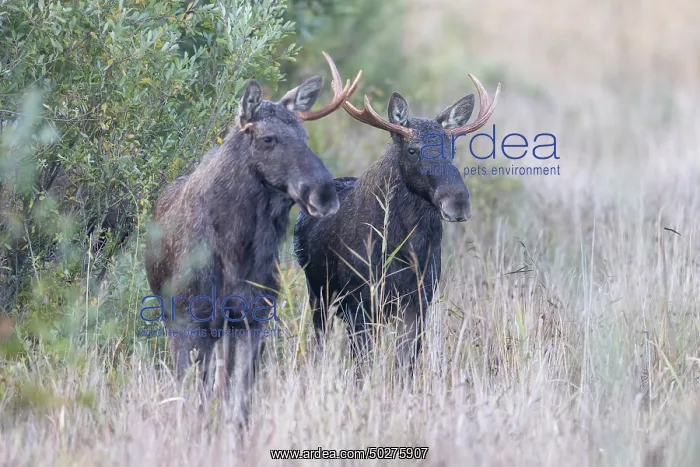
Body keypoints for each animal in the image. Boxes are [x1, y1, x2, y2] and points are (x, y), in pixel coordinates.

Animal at [144, 52, 362, 422]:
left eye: (305, 135)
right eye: (267, 138)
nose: (324, 193)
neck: (235, 251)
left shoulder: (253, 318)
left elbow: (242, 400)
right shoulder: (193, 318)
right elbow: (196, 396)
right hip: (175, 317)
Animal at [294, 72, 499, 374]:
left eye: (453, 149)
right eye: (413, 150)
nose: (458, 202)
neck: (406, 248)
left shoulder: (418, 303)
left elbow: (406, 365)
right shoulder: (359, 301)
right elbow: (363, 364)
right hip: (318, 293)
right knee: (321, 341)